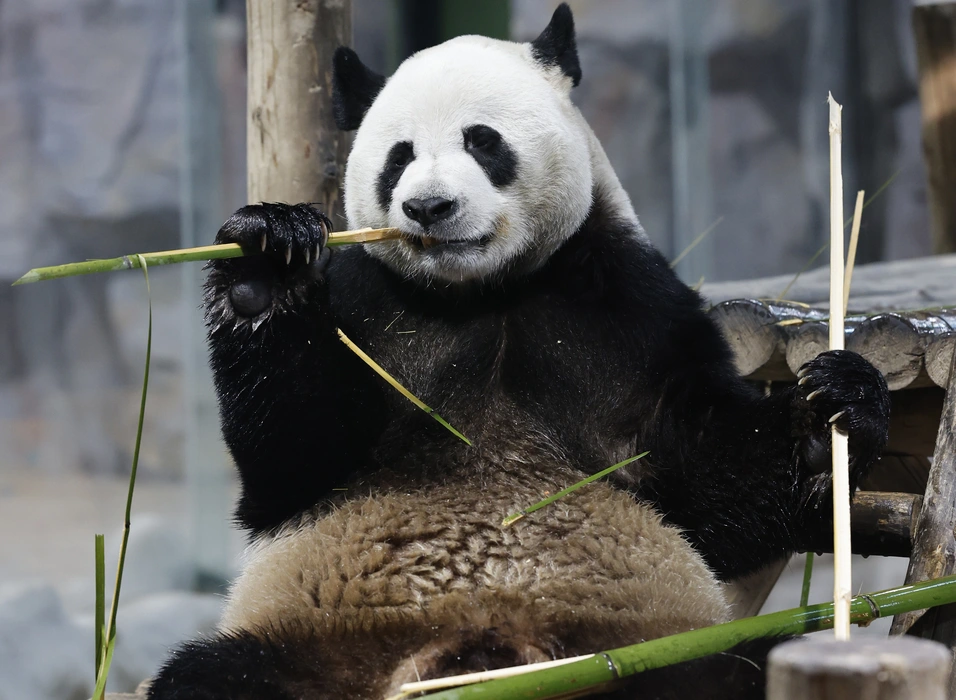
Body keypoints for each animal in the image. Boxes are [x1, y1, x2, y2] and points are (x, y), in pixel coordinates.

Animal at [149, 6, 888, 700]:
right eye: (399, 156)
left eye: (482, 141)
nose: (428, 206)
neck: (484, 294)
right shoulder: (366, 306)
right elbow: (293, 465)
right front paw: (264, 264)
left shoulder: (628, 308)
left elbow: (711, 474)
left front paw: (833, 408)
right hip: (318, 649)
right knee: (211, 675)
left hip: (661, 650)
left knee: (747, 668)